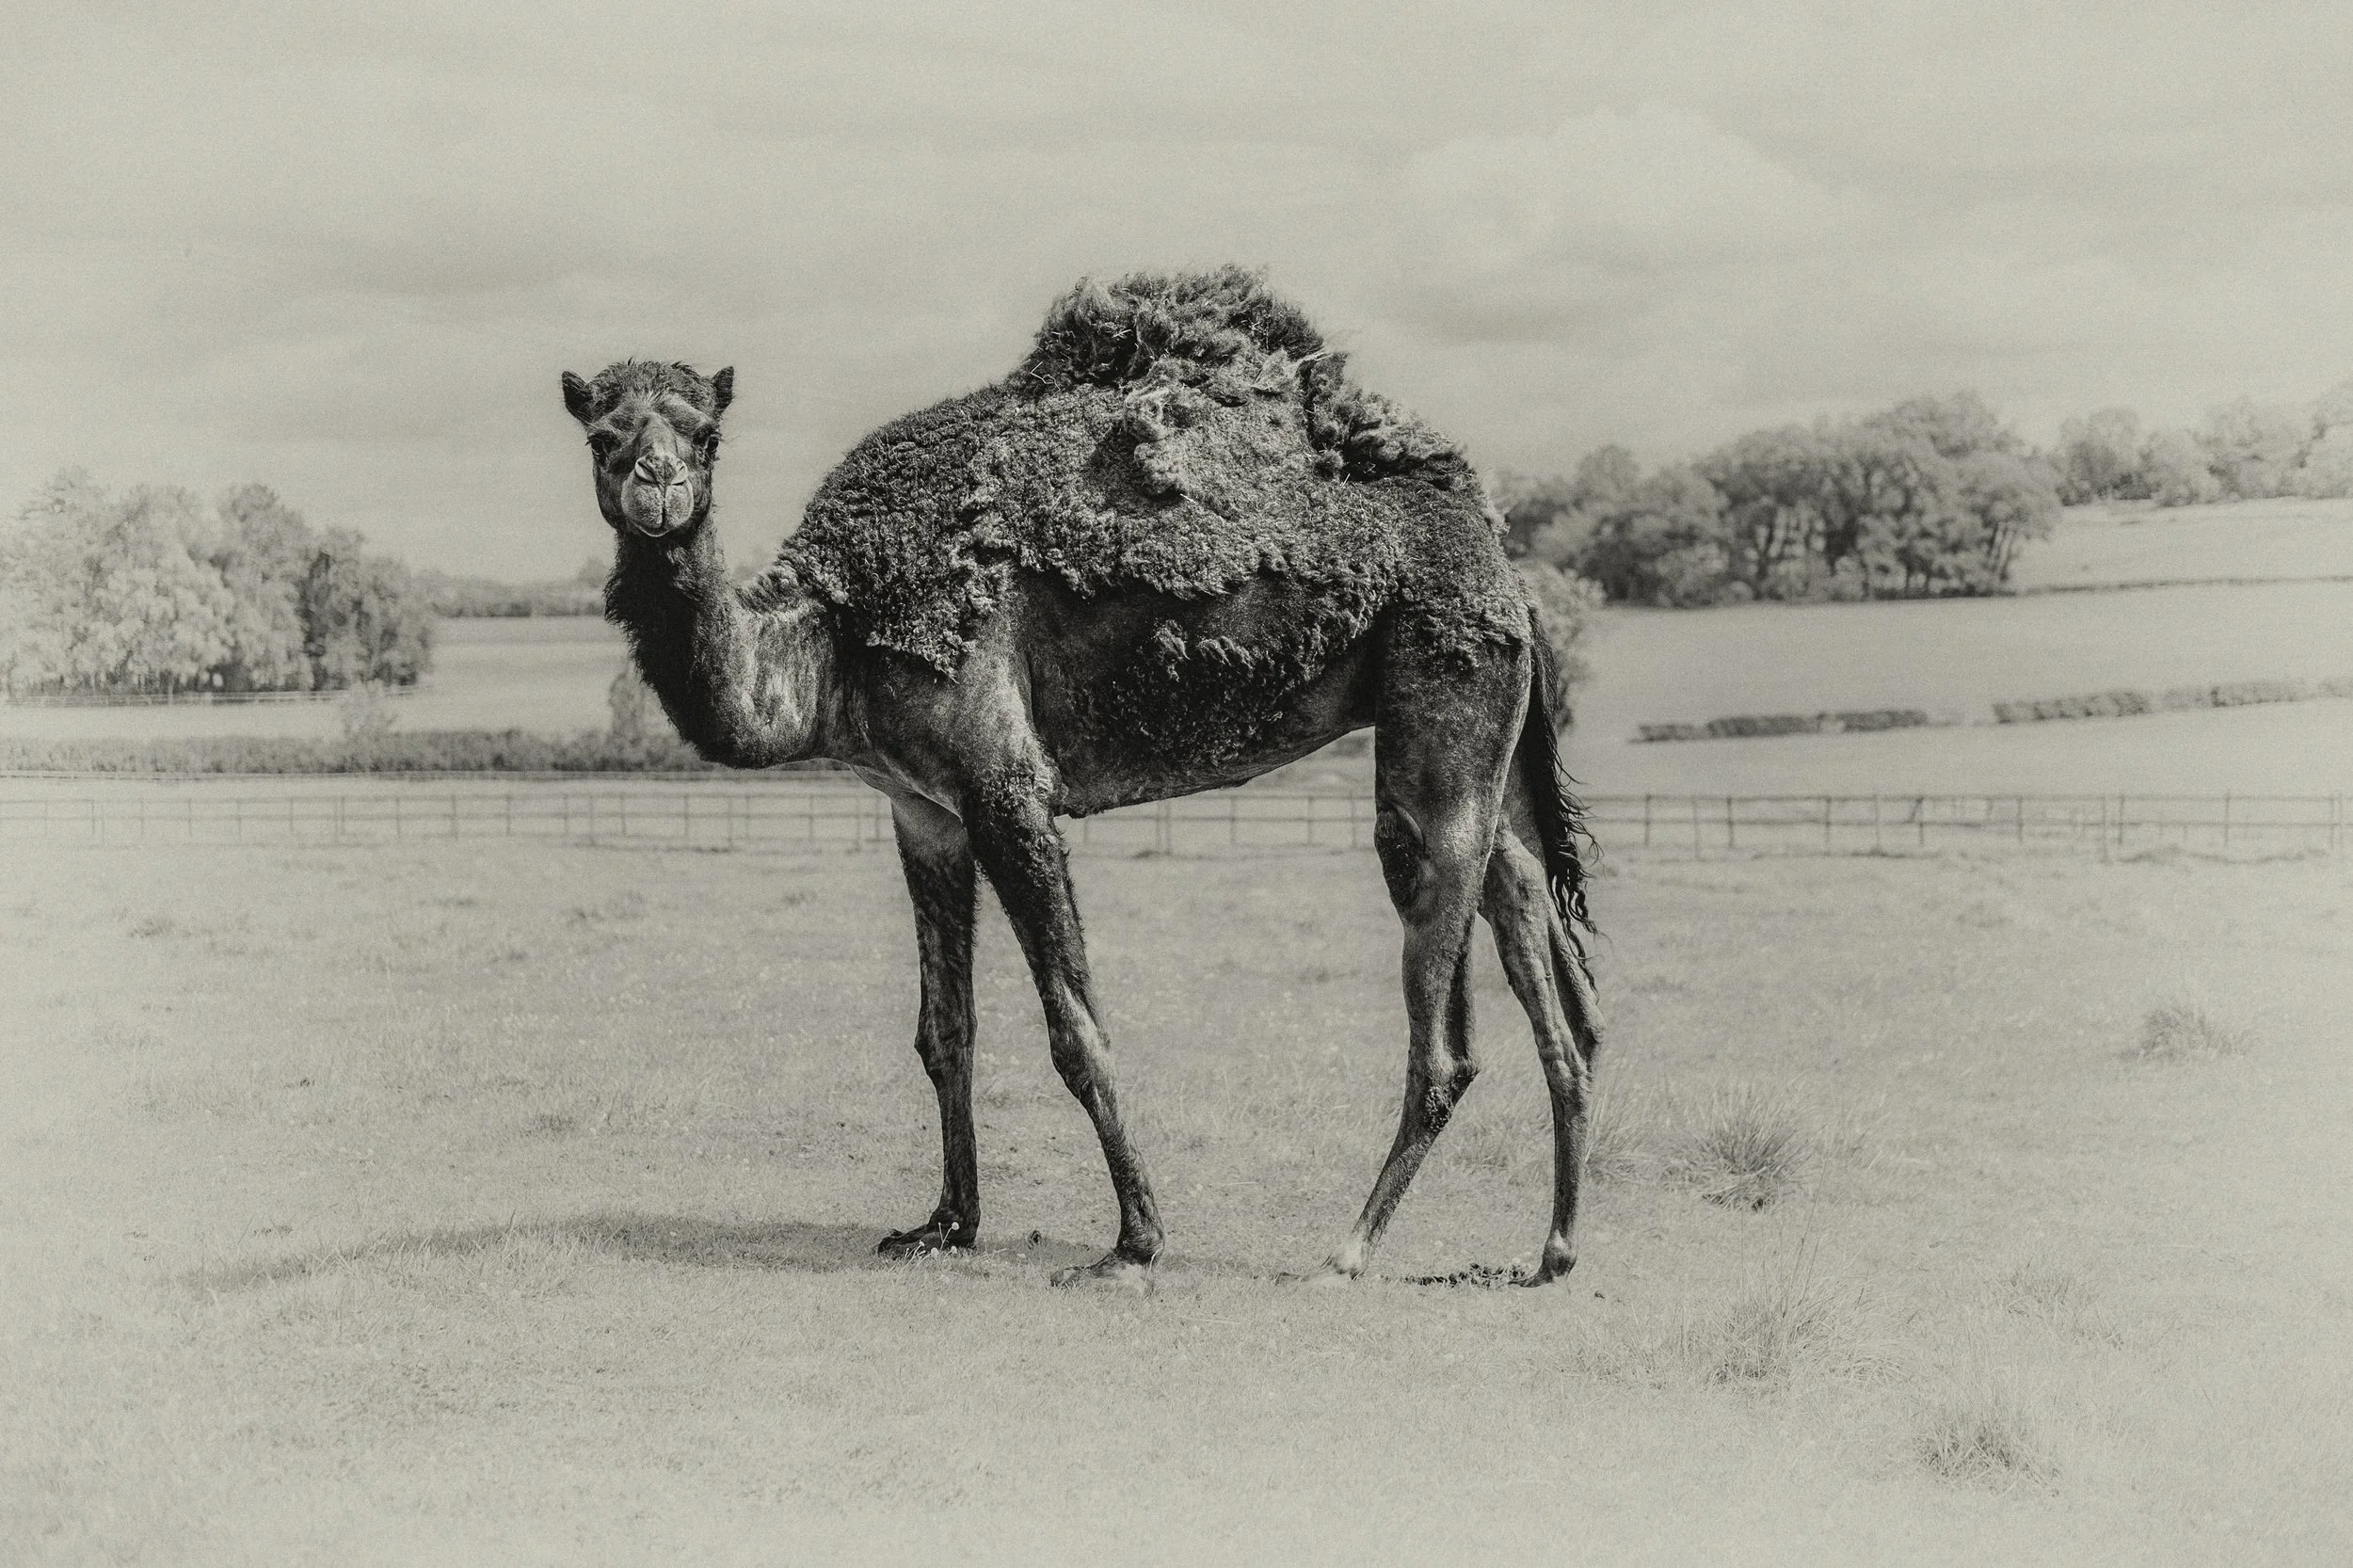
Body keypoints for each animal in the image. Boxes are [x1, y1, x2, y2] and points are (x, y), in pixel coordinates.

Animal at [562, 268, 1603, 1287]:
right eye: (603, 437)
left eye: (706, 434)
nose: (659, 483)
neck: (832, 643)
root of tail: (1512, 575)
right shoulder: (921, 808)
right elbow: (944, 1029)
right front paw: (945, 1224)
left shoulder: (1004, 783)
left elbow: (1075, 1028)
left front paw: (1134, 1243)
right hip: (1485, 732)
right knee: (1543, 939)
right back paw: (1550, 1249)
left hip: (1443, 675)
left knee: (1444, 998)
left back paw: (1348, 1248)